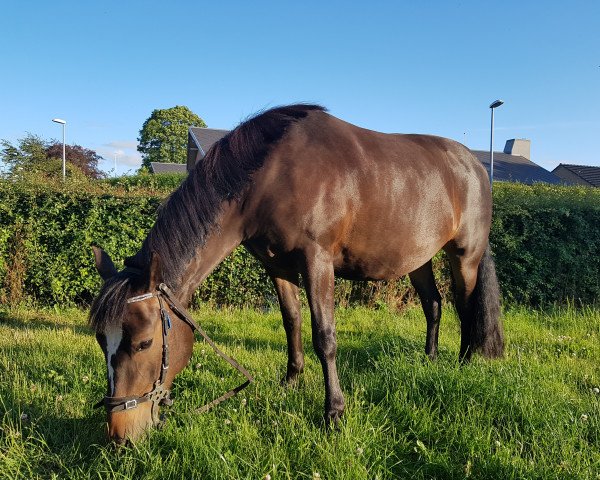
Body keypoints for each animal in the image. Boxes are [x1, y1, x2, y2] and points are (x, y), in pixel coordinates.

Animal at [88, 104, 502, 442]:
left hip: (464, 256)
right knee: (434, 305)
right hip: (419, 259)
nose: (120, 434)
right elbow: (292, 322)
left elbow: (325, 336)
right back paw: (430, 360)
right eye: (101, 341)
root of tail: (475, 166)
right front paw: (290, 383)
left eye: (144, 343)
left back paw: (465, 362)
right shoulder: (278, 266)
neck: (272, 176)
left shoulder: (316, 260)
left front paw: (334, 413)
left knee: (466, 307)